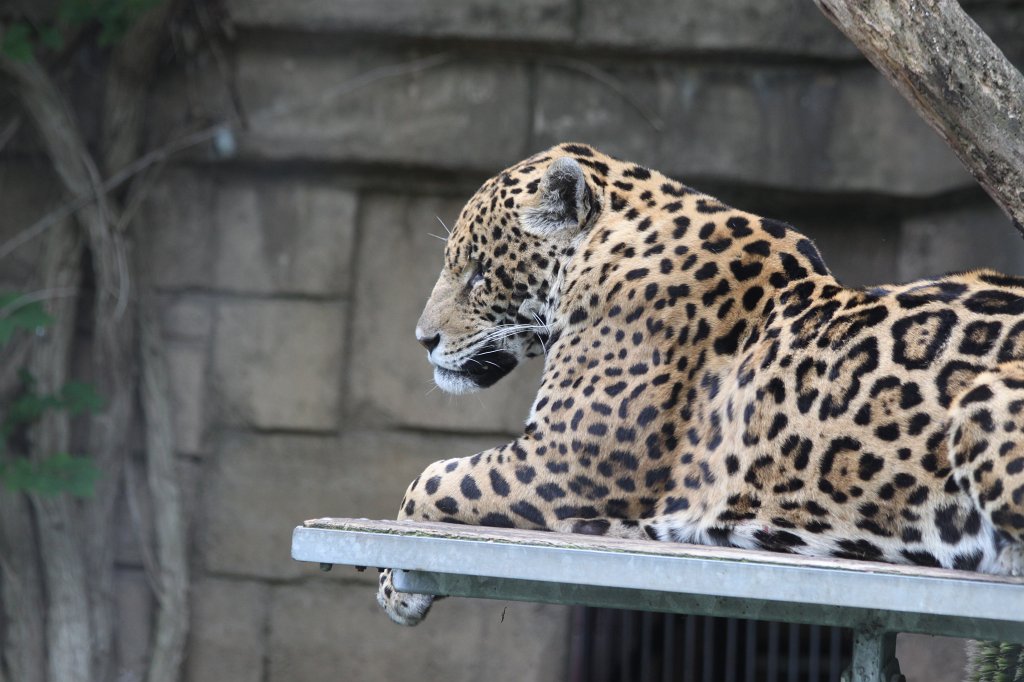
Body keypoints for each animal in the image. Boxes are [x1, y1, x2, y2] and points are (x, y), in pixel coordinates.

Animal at [376, 142, 1024, 626]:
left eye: (480, 272)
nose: (421, 339)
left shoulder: (561, 460)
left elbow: (427, 483)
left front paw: (394, 586)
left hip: (982, 403)